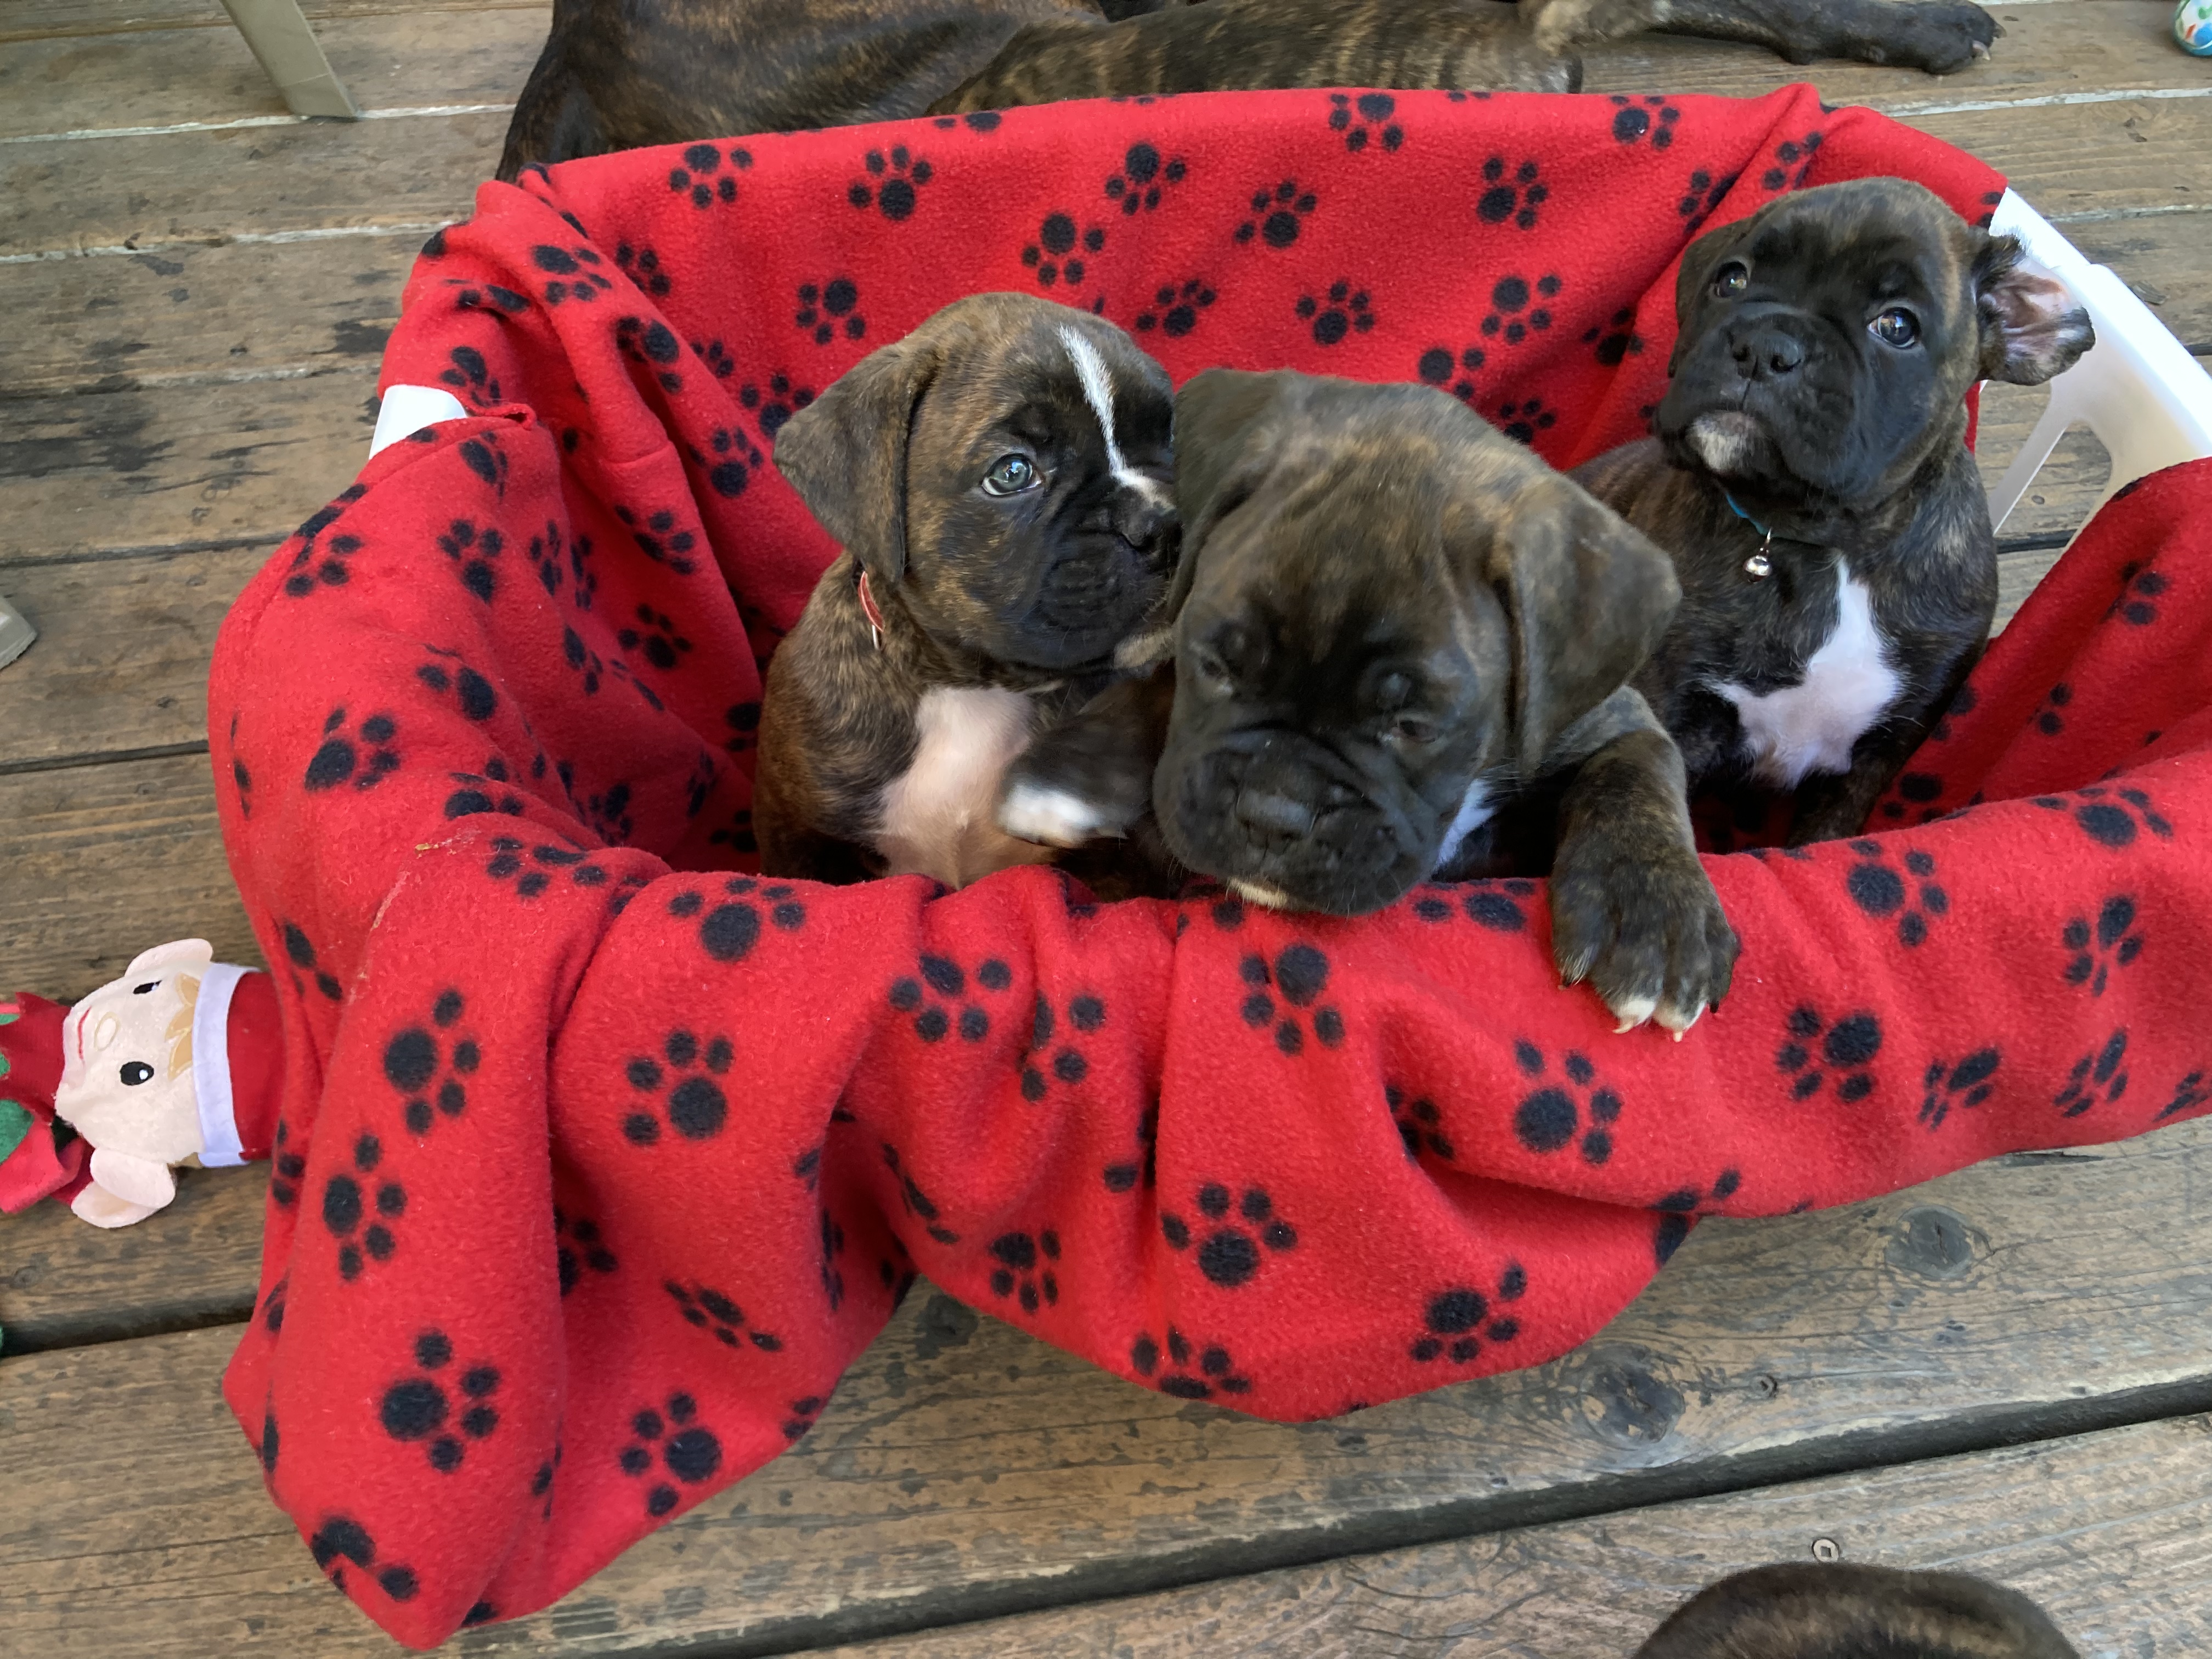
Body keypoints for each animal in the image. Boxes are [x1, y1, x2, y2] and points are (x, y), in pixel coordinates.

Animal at [1039, 367, 1738, 1033]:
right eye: (1212, 666)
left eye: (1414, 726)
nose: (1272, 814)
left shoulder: (1613, 720)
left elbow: (1636, 775)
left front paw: (1653, 917)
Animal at [1574, 178, 2094, 845]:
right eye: (1732, 280)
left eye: (1896, 325)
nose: (1765, 346)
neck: (1826, 545)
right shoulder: (1673, 706)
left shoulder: (1875, 757)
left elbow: (1828, 831)